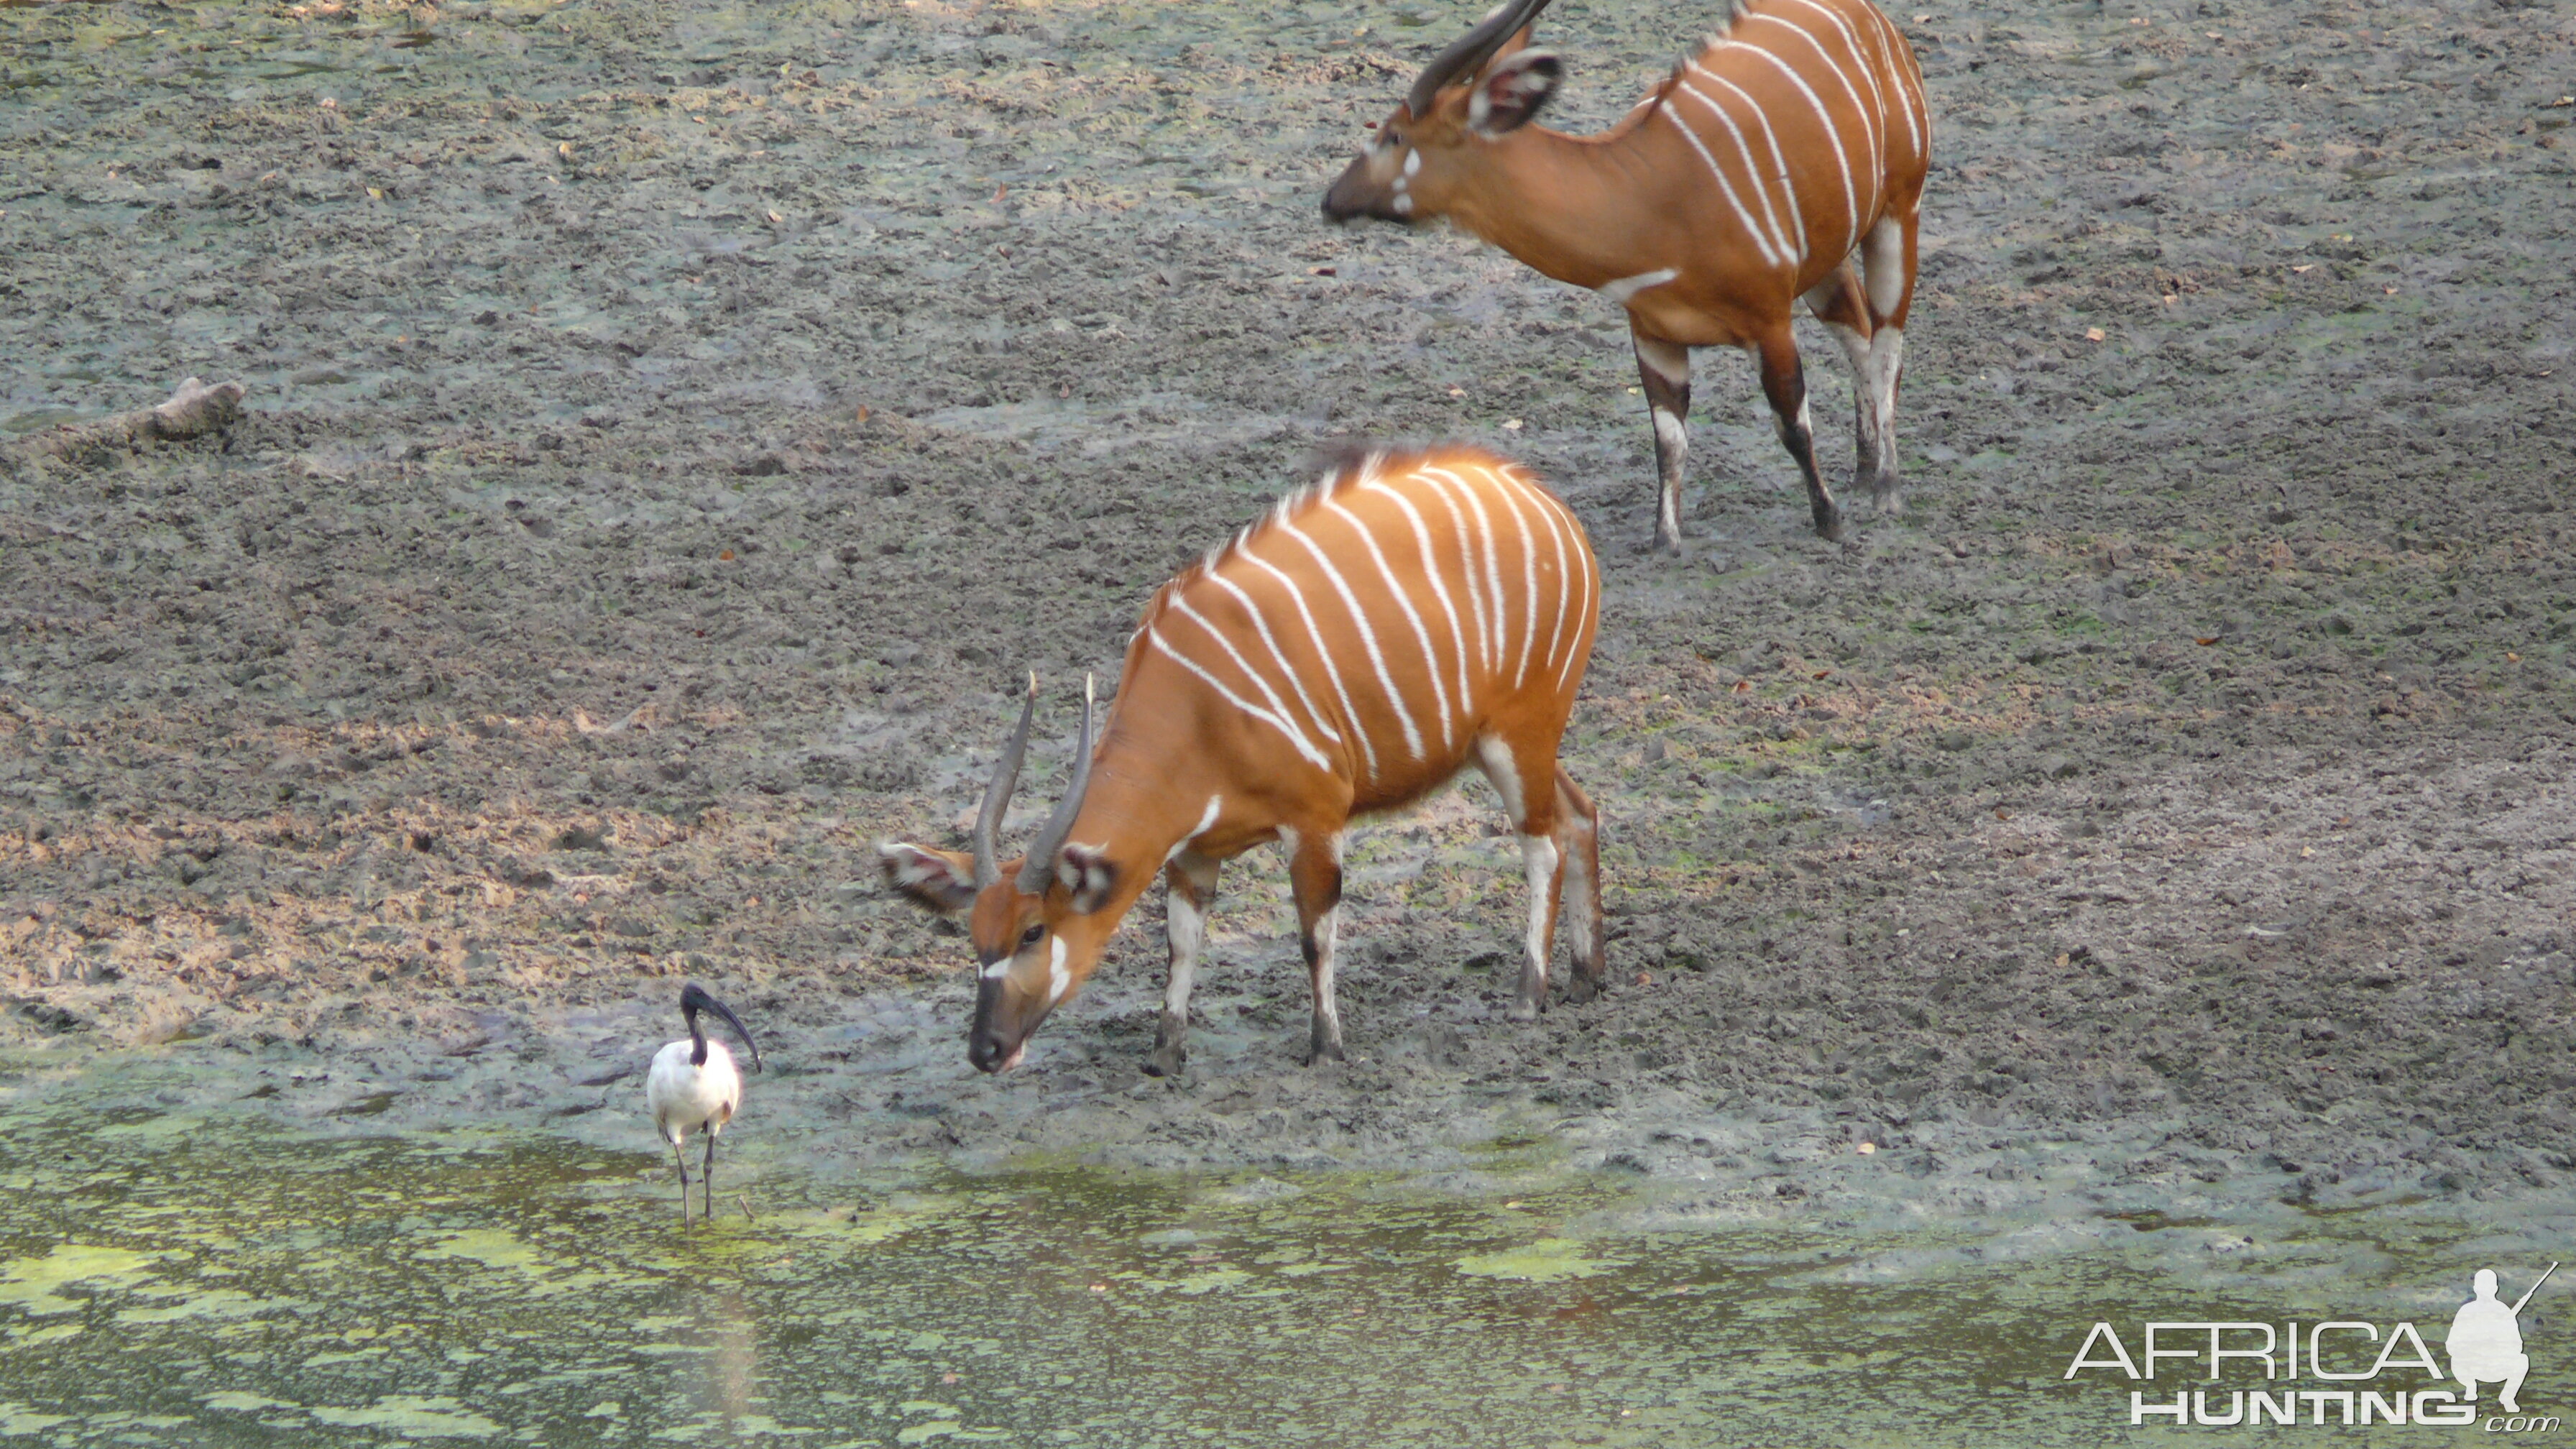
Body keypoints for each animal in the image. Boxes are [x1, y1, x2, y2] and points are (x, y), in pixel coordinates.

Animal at [891, 448, 1607, 1072]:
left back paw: (1528, 996)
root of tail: (1548, 506)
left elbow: (1315, 935)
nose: (986, 1050)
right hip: (1500, 745)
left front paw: (1326, 1048)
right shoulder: (1191, 853)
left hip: (1518, 736)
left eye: (1033, 932)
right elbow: (1181, 943)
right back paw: (1586, 977)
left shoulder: (1315, 819)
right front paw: (1165, 1055)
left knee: (1541, 846)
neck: (1194, 708)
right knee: (1580, 813)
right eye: (974, 934)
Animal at [1339, 0, 1926, 546]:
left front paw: (1830, 521)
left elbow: (1792, 423)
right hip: (1826, 256)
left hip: (1899, 210)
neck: (1644, 198)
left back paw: (1887, 489)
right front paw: (1665, 541)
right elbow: (1669, 439)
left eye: (1394, 137)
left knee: (1886, 344)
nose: (1331, 201)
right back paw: (1863, 471)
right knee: (1857, 329)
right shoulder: (1652, 333)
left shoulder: (1769, 321)